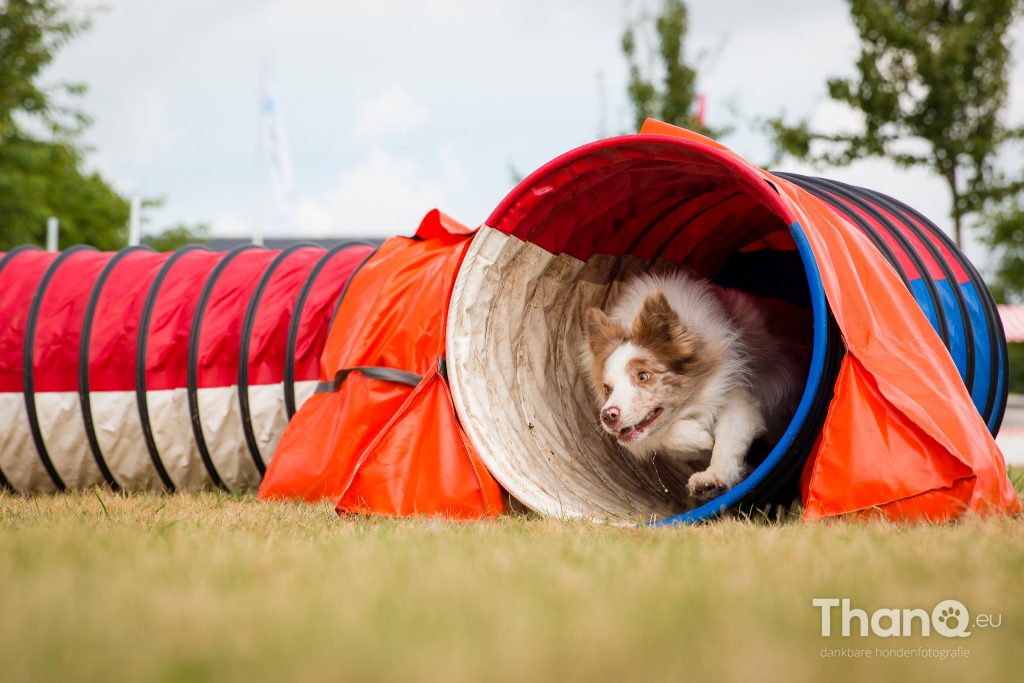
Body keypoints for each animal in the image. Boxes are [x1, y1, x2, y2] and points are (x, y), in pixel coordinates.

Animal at [581, 270, 802, 499]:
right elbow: (664, 436)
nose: (607, 416)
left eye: (643, 376)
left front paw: (712, 477)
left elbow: (727, 442)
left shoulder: (736, 396)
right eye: (607, 388)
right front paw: (699, 438)